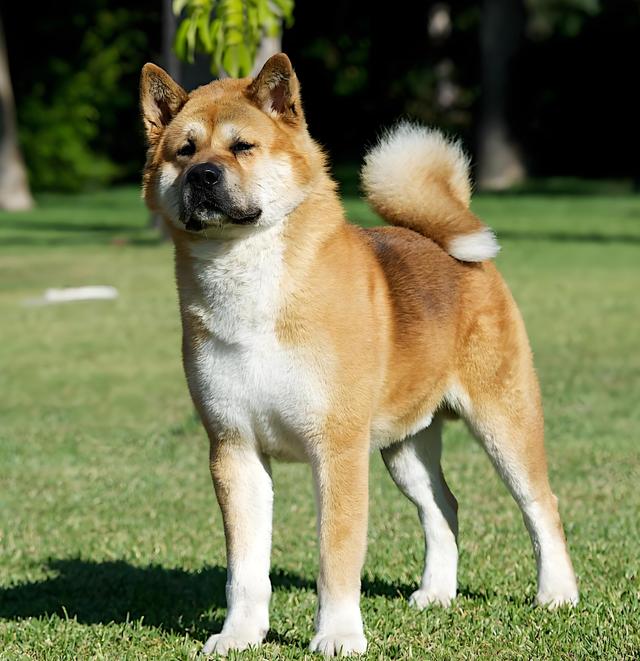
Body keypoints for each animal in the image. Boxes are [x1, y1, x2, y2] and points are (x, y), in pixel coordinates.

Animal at [139, 53, 578, 657]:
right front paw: (239, 635)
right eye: (184, 150)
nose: (202, 176)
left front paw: (339, 635)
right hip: (404, 446)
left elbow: (336, 555)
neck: (250, 288)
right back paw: (436, 594)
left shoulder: (338, 449)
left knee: (541, 505)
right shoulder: (234, 449)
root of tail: (454, 247)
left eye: (242, 147)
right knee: (444, 508)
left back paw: (557, 594)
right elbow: (245, 569)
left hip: (504, 423)